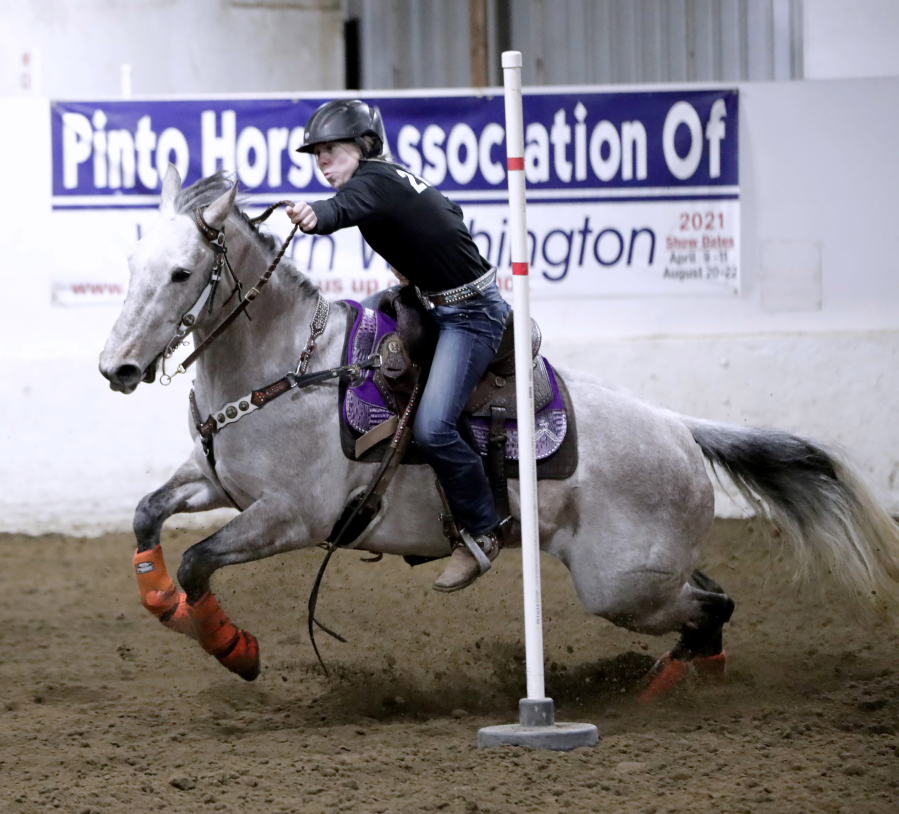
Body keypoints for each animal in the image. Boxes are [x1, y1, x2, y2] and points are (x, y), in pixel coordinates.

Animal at [98, 167, 899, 696]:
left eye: (181, 272)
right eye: (131, 262)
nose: (117, 367)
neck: (292, 366)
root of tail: (680, 428)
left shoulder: (291, 517)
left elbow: (199, 560)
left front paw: (233, 647)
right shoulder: (216, 482)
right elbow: (146, 515)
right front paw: (158, 600)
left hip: (621, 585)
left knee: (712, 606)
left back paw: (669, 689)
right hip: (647, 572)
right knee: (708, 596)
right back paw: (682, 677)